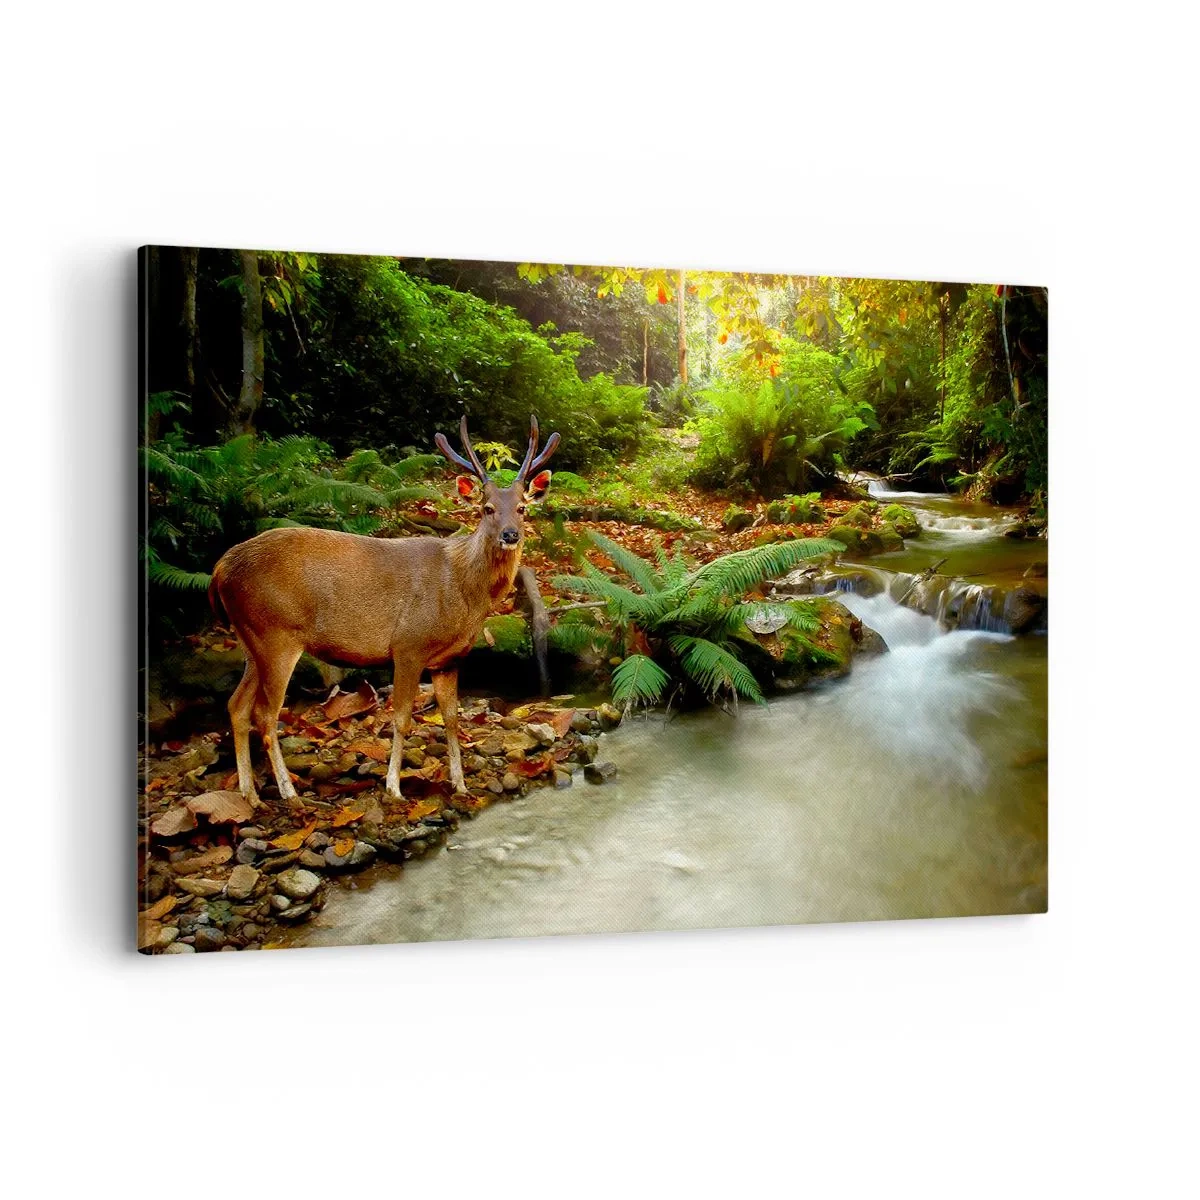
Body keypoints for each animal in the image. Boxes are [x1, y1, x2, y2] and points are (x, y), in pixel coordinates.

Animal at [208, 414, 559, 808]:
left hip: (250, 639)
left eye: (522, 507)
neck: (463, 592)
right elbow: (402, 717)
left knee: (236, 706)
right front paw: (394, 787)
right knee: (266, 715)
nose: (510, 534)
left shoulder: (449, 659)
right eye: (487, 508)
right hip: (275, 633)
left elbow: (452, 718)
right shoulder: (408, 644)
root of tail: (220, 569)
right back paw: (289, 793)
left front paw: (460, 784)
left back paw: (250, 795)